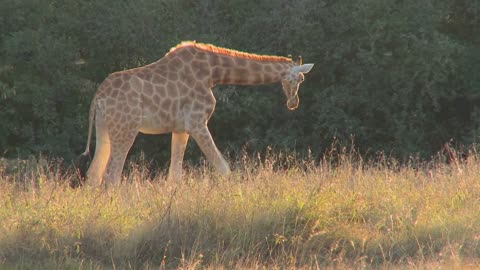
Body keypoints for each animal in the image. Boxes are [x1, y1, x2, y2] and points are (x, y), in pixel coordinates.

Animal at [81, 41, 316, 186]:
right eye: (301, 79)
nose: (293, 103)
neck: (213, 73)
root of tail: (98, 96)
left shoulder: (180, 128)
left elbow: (175, 176)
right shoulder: (197, 122)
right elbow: (223, 167)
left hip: (105, 128)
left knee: (93, 173)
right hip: (126, 129)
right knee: (111, 174)